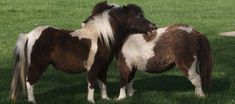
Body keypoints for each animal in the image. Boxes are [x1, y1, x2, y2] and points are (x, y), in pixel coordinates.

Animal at [9, 1, 156, 103]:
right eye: (139, 16)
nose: (154, 27)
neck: (101, 38)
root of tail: (29, 35)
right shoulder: (93, 67)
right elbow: (91, 83)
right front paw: (91, 100)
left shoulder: (103, 67)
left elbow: (103, 83)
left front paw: (105, 98)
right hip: (38, 65)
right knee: (29, 82)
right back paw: (32, 101)